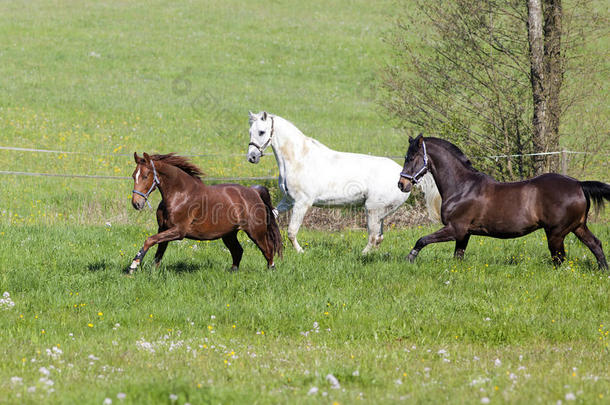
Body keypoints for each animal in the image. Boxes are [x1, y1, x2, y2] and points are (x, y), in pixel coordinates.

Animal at [129, 153, 282, 274]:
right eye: (133, 176)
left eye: (145, 176)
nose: (136, 203)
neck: (179, 194)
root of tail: (254, 191)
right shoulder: (163, 229)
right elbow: (158, 254)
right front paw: (152, 273)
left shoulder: (178, 231)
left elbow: (149, 240)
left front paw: (133, 266)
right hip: (229, 234)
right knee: (238, 251)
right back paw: (232, 273)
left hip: (256, 232)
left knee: (268, 251)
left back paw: (271, 271)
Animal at [245, 111, 440, 252]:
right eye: (250, 132)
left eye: (262, 132)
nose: (252, 157)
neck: (298, 159)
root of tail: (404, 177)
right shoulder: (288, 201)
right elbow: (272, 214)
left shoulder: (302, 203)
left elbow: (292, 232)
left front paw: (300, 252)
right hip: (381, 212)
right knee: (379, 237)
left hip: (372, 210)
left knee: (373, 237)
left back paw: (362, 255)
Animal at [396, 134, 604, 270]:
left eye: (411, 158)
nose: (401, 184)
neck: (462, 187)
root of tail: (578, 184)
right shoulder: (464, 234)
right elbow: (458, 256)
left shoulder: (456, 229)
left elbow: (422, 240)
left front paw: (409, 259)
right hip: (577, 227)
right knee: (596, 245)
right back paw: (604, 271)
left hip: (556, 233)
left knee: (560, 259)